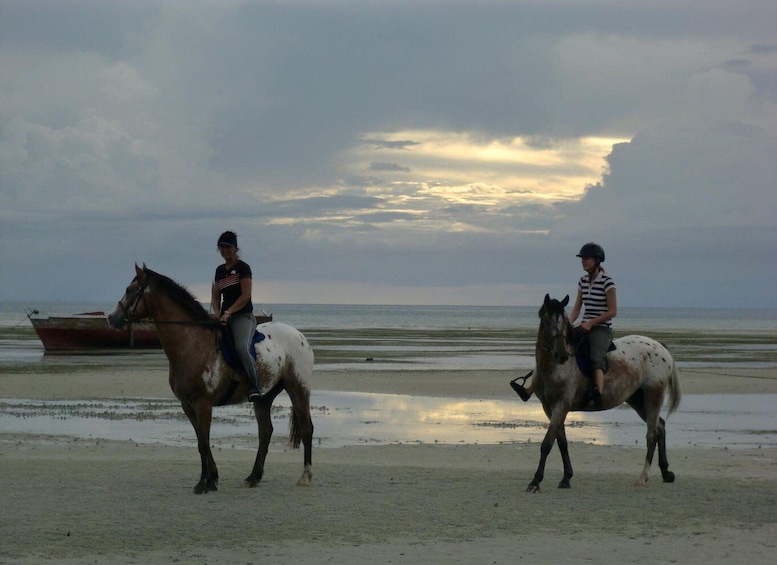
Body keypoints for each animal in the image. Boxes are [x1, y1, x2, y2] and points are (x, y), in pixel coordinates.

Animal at [107, 262, 314, 492]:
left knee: (306, 429)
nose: (111, 318)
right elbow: (200, 441)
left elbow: (204, 442)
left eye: (130, 290)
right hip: (263, 398)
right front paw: (212, 478)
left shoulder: (203, 403)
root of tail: (300, 336)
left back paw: (305, 476)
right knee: (265, 432)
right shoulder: (187, 405)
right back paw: (253, 477)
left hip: (298, 389)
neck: (192, 343)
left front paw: (203, 483)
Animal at [524, 294, 684, 492]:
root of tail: (660, 348)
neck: (553, 369)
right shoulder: (549, 408)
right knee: (660, 426)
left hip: (653, 395)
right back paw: (665, 472)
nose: (561, 356)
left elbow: (547, 443)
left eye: (564, 323)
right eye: (546, 322)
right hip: (637, 399)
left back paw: (642, 477)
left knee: (652, 434)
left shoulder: (561, 406)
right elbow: (561, 442)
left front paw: (535, 481)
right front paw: (566, 477)